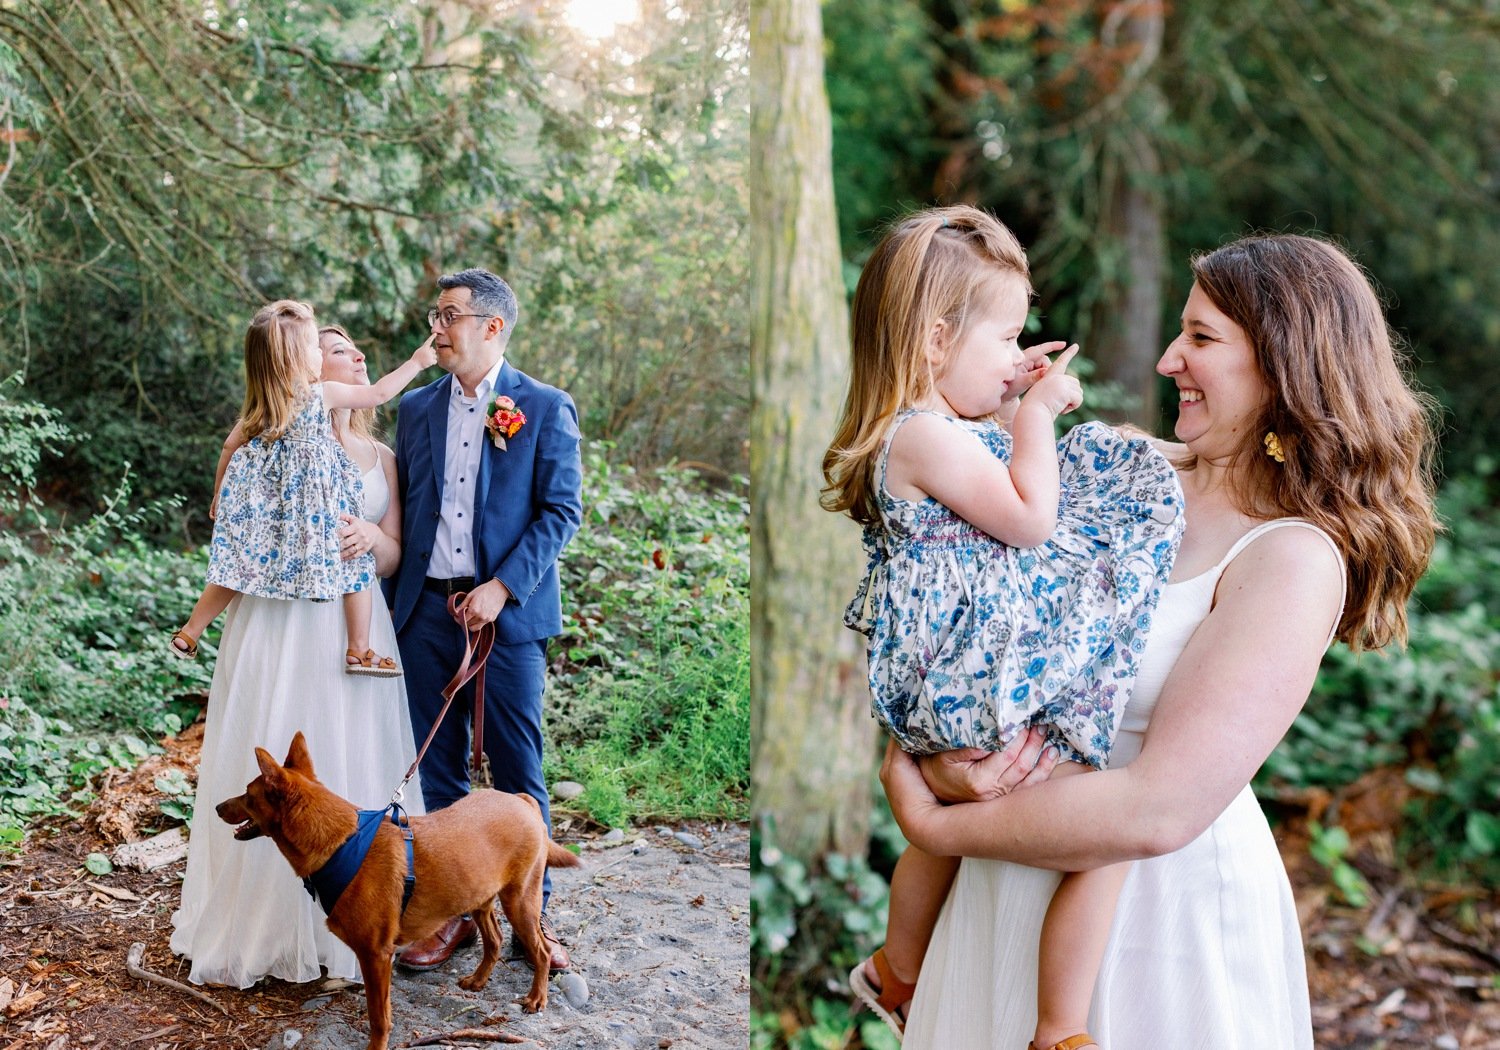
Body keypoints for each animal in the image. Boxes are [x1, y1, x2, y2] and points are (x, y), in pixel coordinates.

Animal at [219, 729, 582, 1050]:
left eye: (247, 794)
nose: (216, 807)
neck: (340, 842)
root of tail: (521, 800)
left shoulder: (375, 955)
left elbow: (378, 1017)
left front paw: (376, 1047)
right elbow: (383, 1011)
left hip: (519, 901)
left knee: (541, 951)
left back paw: (536, 998)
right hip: (478, 897)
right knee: (494, 940)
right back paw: (478, 981)